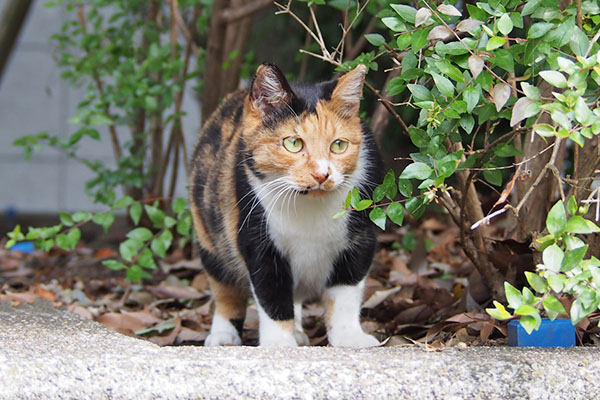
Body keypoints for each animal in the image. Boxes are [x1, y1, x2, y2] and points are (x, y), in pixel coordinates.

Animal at [190, 64, 382, 346]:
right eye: (293, 143)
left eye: (339, 145)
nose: (322, 174)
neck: (309, 208)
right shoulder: (258, 242)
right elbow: (272, 297)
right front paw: (280, 344)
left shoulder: (361, 239)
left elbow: (345, 294)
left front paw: (350, 337)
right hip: (208, 237)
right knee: (225, 288)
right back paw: (224, 335)